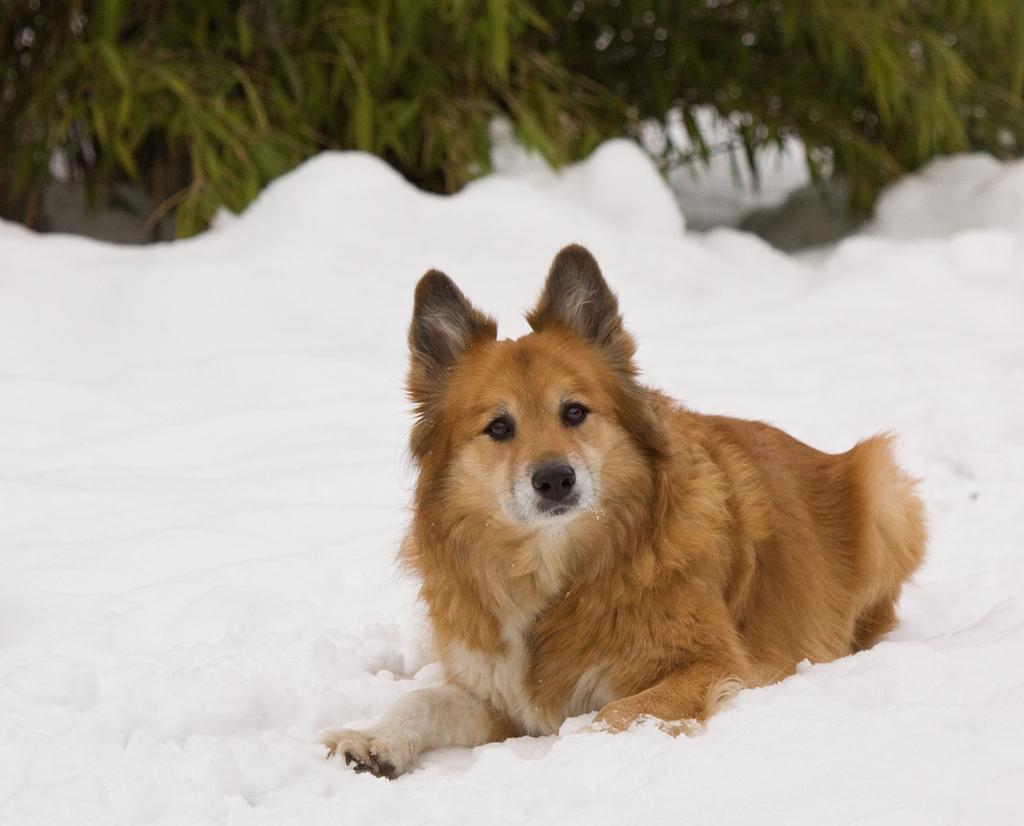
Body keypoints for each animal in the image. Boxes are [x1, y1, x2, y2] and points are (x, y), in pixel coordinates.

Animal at [321, 245, 929, 781]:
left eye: (574, 412)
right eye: (498, 426)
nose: (554, 479)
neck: (559, 576)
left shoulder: (712, 665)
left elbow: (612, 717)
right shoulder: (496, 693)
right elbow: (421, 700)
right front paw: (373, 739)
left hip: (885, 493)